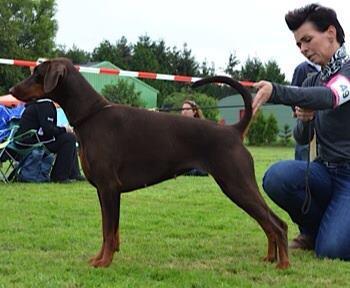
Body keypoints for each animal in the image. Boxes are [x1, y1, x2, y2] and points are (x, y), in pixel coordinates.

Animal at [8, 57, 290, 268]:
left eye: (37, 74)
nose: (11, 90)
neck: (91, 116)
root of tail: (233, 130)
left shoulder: (109, 187)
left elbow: (108, 231)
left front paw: (104, 262)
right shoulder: (103, 191)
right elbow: (108, 230)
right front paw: (100, 258)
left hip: (236, 183)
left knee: (278, 223)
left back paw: (283, 264)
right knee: (268, 223)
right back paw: (269, 258)